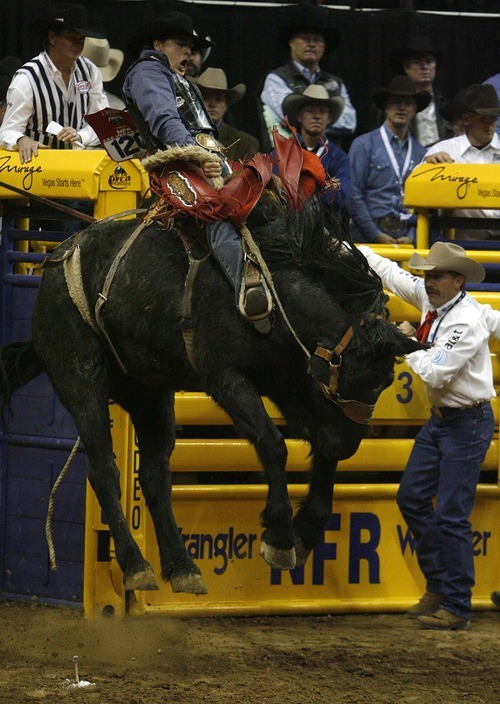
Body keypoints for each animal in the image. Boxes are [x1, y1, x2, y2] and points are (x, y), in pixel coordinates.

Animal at [0, 192, 426, 592]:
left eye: (384, 382)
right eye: (353, 377)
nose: (349, 444)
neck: (271, 293)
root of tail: (55, 264)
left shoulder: (292, 384)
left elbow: (318, 448)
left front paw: (306, 531)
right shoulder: (225, 378)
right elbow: (273, 444)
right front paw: (281, 537)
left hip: (148, 391)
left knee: (154, 475)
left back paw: (182, 567)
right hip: (80, 374)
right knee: (103, 469)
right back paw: (137, 566)